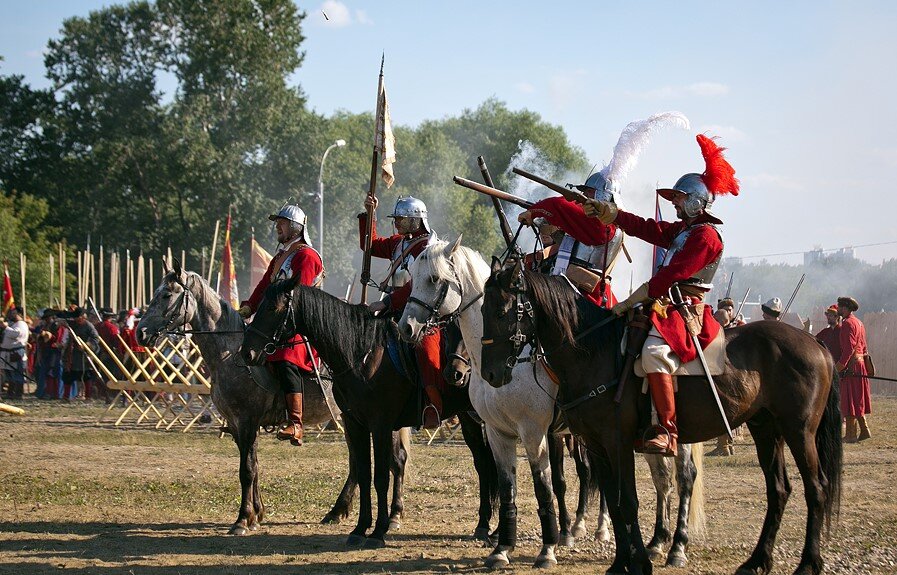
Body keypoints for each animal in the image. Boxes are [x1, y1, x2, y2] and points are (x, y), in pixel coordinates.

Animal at [136, 266, 396, 540]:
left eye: (167, 294)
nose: (140, 333)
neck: (230, 356)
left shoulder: (247, 421)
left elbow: (247, 470)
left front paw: (242, 519)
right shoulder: (237, 426)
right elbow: (254, 466)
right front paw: (256, 514)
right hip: (349, 418)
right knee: (356, 462)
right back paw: (337, 511)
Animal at [242, 276, 496, 548]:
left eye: (273, 308)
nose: (248, 352)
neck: (360, 354)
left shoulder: (381, 425)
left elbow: (380, 476)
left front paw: (378, 532)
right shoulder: (355, 423)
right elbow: (363, 473)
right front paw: (360, 527)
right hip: (469, 418)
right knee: (483, 463)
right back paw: (483, 525)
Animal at [400, 238, 708, 572]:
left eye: (434, 279)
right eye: (413, 277)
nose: (406, 327)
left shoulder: (536, 432)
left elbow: (546, 486)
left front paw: (549, 547)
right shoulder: (497, 431)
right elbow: (508, 487)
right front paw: (502, 547)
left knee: (682, 478)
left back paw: (669, 544)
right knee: (658, 479)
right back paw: (653, 541)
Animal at [484, 260, 840, 575]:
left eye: (502, 312)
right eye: (484, 310)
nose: (491, 374)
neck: (593, 351)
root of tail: (815, 342)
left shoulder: (616, 442)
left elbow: (627, 501)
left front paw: (640, 563)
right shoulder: (595, 445)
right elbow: (614, 500)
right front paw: (620, 563)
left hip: (799, 431)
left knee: (816, 488)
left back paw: (807, 563)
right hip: (765, 428)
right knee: (778, 489)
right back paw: (756, 561)